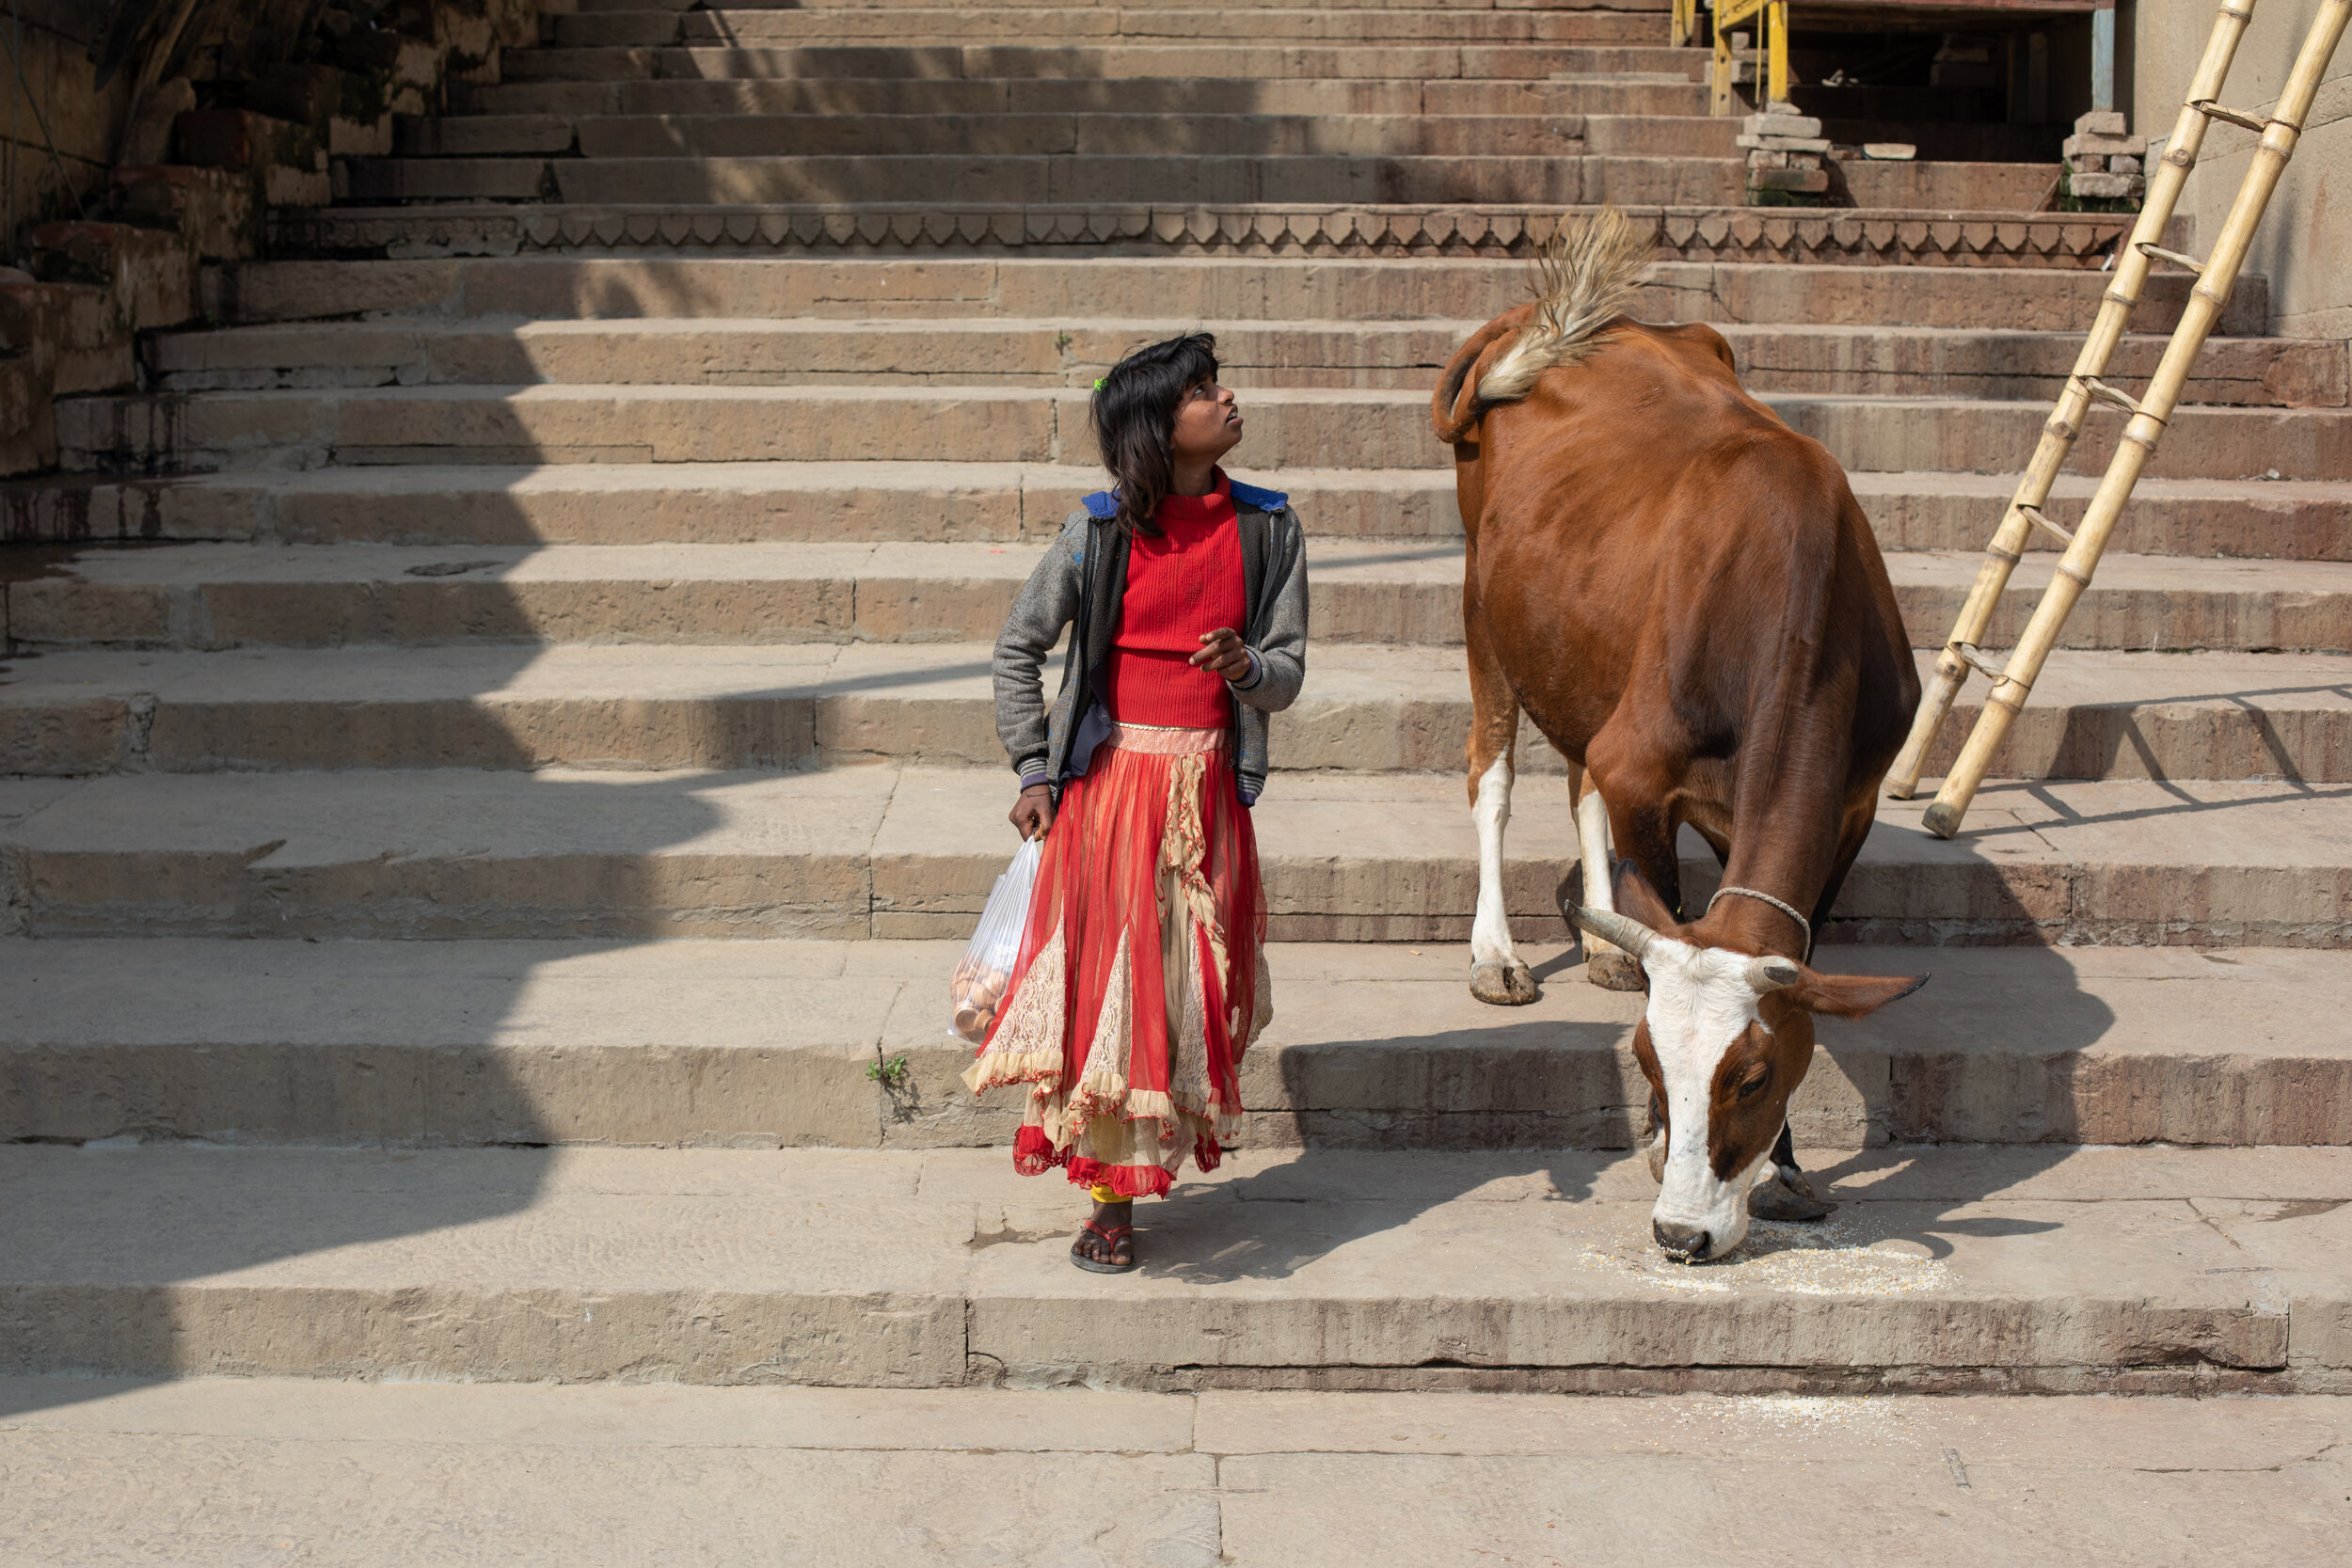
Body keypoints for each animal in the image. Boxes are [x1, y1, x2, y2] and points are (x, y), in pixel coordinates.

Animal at [1430, 208, 1929, 1259]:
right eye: (1649, 1064)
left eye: (1753, 1075)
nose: (1681, 1234)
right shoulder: (1641, 774)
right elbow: (1645, 877)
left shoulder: (1854, 802)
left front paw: (1783, 1169)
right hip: (1483, 604)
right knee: (1491, 774)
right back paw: (1495, 955)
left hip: (1581, 644)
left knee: (1573, 770)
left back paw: (1606, 943)